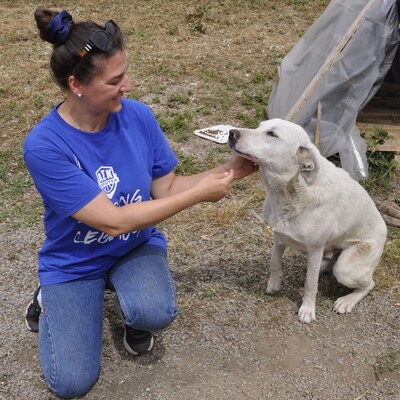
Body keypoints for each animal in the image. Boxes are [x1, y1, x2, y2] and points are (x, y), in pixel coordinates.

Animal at [230, 119, 386, 322]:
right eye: (258, 127)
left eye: (272, 134)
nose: (231, 133)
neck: (290, 192)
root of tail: (385, 231)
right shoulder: (279, 237)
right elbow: (274, 263)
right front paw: (274, 284)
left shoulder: (315, 249)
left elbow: (311, 284)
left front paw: (307, 310)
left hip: (346, 269)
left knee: (368, 284)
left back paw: (346, 301)